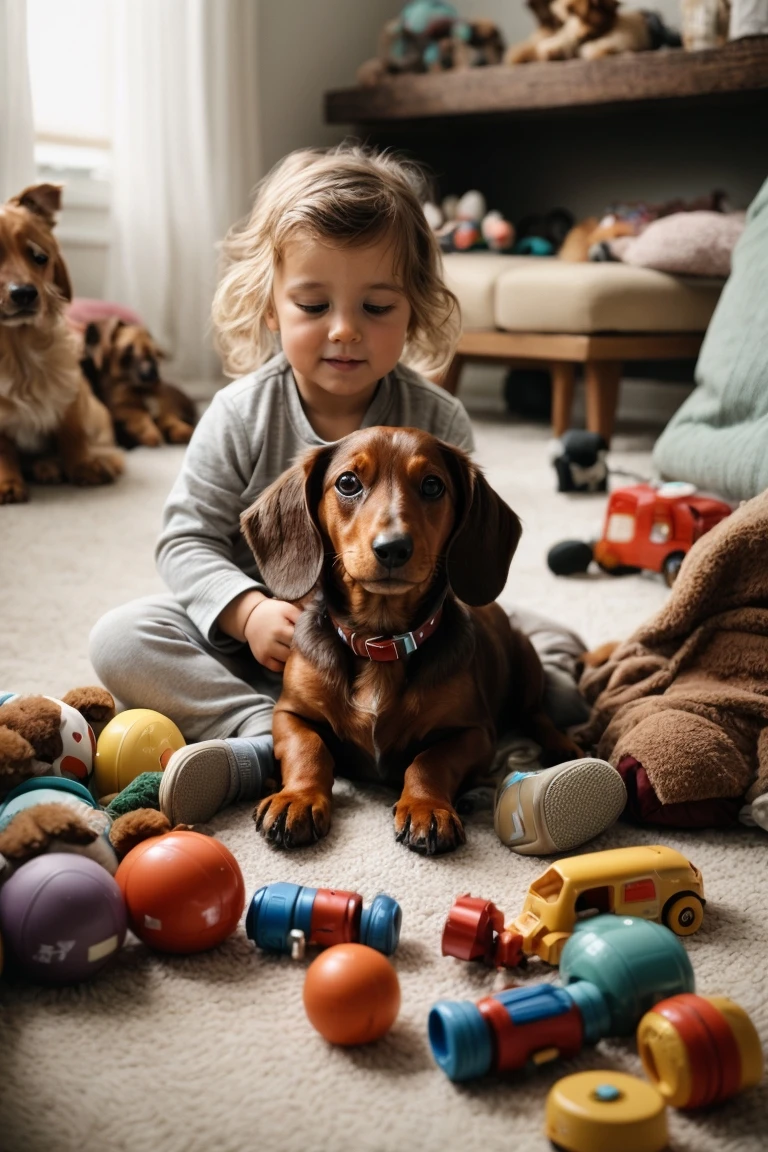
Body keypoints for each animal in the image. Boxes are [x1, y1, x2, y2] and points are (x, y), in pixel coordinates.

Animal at [0, 183, 122, 499]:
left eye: (40, 257)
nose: (25, 294)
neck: (19, 352)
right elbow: (4, 451)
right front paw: (8, 483)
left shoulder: (71, 393)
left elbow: (72, 435)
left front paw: (84, 468)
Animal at [78, 317, 195, 446]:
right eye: (128, 349)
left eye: (153, 351)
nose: (153, 374)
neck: (141, 392)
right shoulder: (124, 411)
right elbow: (140, 417)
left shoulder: (164, 412)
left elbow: (169, 420)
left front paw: (182, 430)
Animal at [242, 428, 580, 852]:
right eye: (348, 482)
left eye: (433, 485)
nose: (393, 548)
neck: (381, 642)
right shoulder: (289, 713)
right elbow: (309, 747)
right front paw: (297, 798)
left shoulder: (474, 733)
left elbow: (430, 760)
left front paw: (426, 807)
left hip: (526, 661)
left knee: (536, 714)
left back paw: (562, 746)